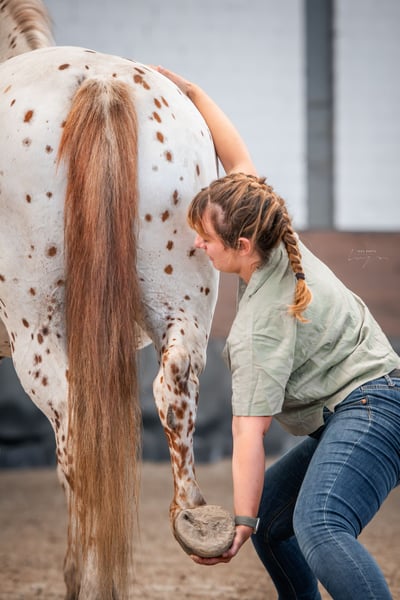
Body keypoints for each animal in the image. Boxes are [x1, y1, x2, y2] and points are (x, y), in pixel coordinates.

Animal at [0, 1, 234, 598]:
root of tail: (101, 82)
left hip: (37, 335)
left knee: (75, 434)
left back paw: (80, 573)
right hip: (180, 309)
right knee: (173, 384)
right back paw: (194, 522)